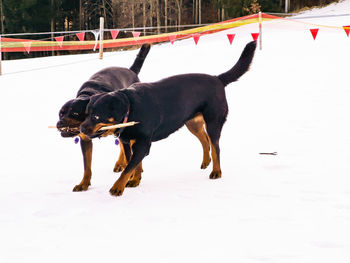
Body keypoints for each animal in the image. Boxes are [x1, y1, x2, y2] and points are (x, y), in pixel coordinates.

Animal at [81, 41, 258, 197]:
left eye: (96, 116)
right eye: (86, 113)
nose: (81, 129)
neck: (130, 110)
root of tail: (218, 78)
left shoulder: (143, 143)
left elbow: (128, 168)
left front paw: (117, 188)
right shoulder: (128, 142)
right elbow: (134, 165)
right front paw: (135, 180)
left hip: (213, 121)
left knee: (216, 147)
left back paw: (216, 171)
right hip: (192, 123)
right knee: (205, 140)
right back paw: (206, 162)